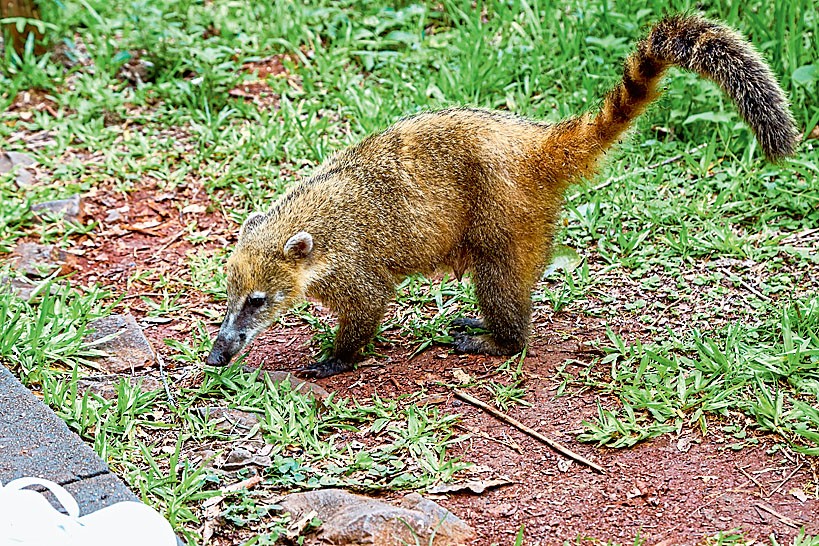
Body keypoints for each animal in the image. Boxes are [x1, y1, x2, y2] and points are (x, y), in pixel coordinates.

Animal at [206, 14, 799, 377]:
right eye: (230, 296)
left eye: (257, 301)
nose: (216, 355)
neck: (306, 218)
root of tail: (534, 142)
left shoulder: (353, 266)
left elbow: (369, 306)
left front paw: (338, 357)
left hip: (505, 217)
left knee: (501, 284)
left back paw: (500, 339)